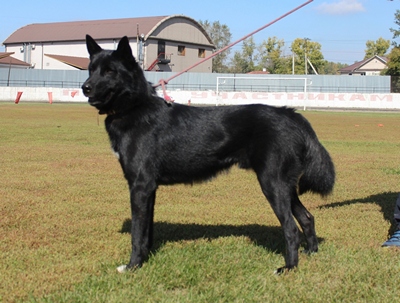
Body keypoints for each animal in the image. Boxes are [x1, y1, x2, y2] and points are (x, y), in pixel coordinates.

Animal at [81, 35, 334, 276]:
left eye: (110, 71)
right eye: (91, 69)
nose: (85, 88)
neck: (135, 107)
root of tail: (291, 115)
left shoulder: (140, 186)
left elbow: (136, 233)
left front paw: (133, 266)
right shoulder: (149, 188)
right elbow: (146, 232)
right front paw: (146, 259)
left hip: (273, 184)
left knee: (291, 228)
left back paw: (288, 268)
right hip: (285, 185)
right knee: (307, 218)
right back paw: (311, 253)